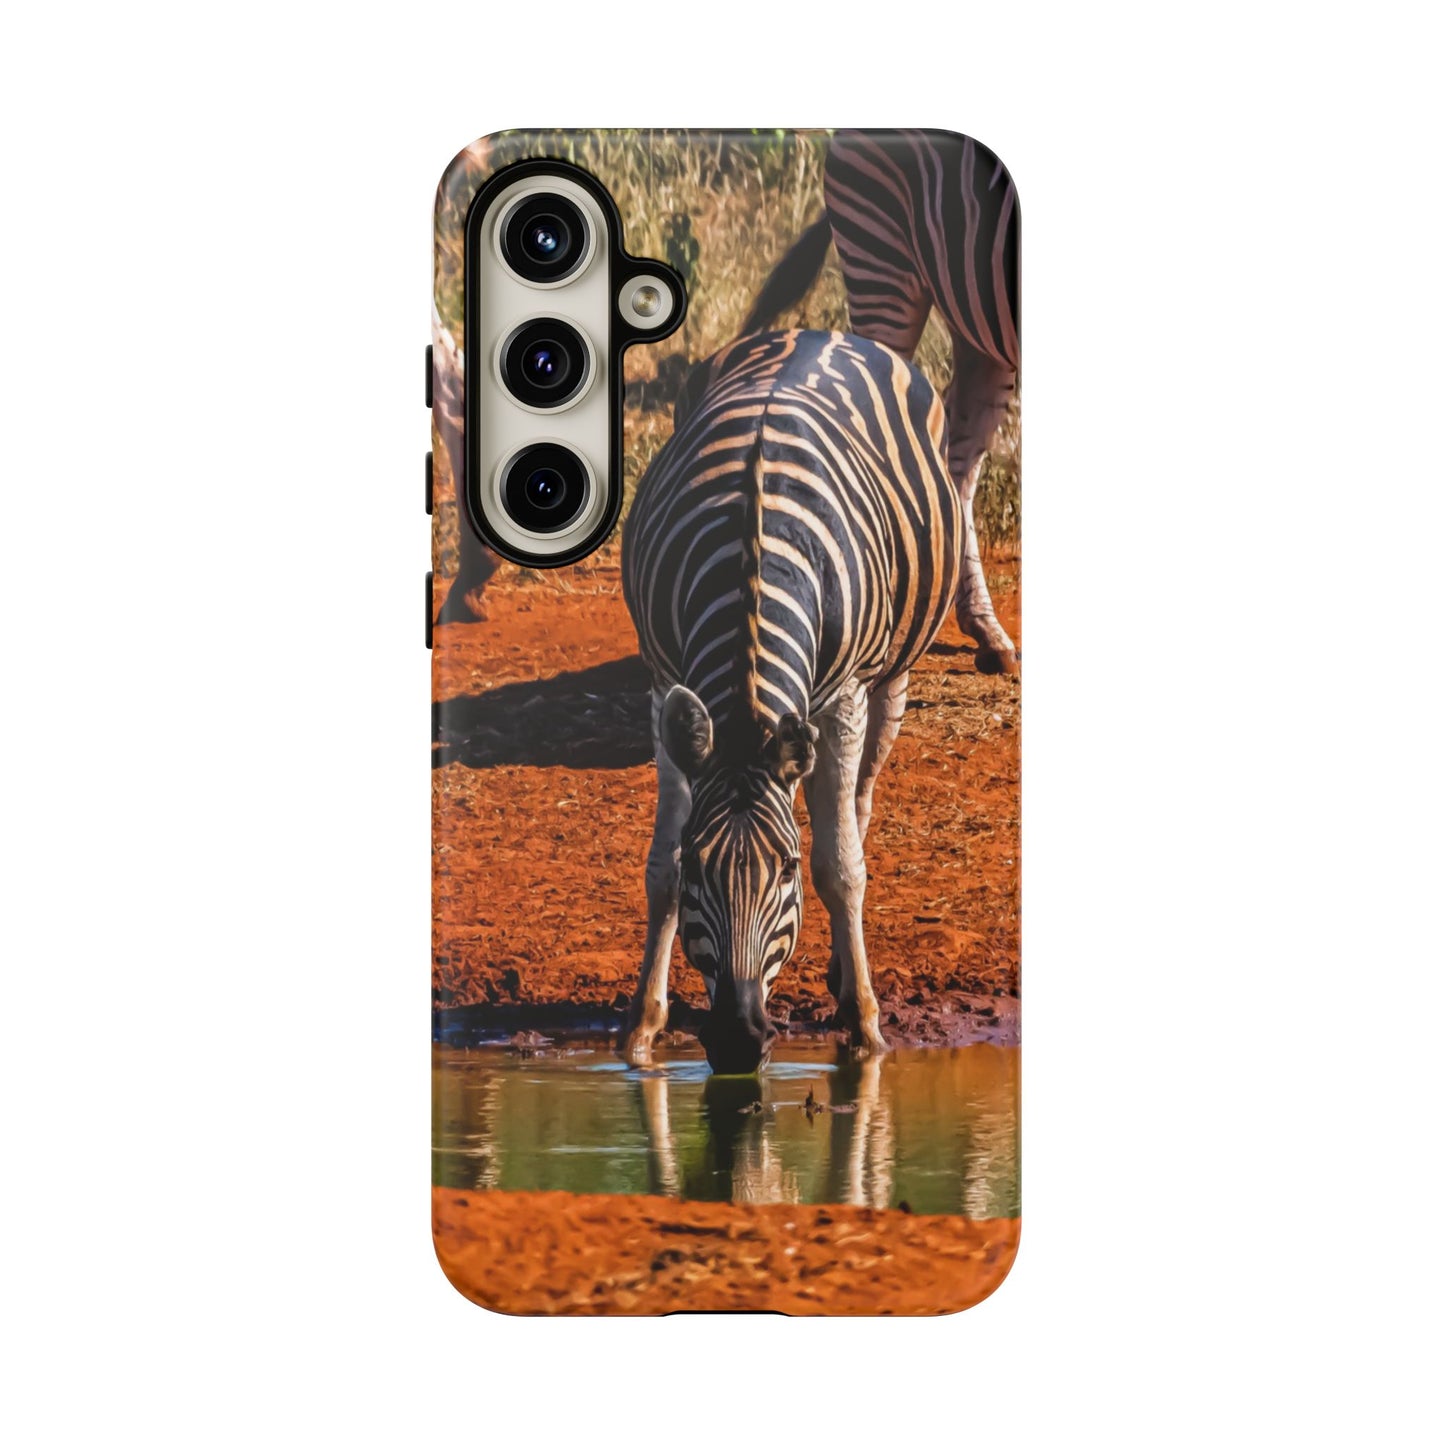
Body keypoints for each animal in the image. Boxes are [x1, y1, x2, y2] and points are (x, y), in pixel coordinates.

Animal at [621, 328, 961, 1073]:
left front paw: (865, 1028)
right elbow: (658, 868)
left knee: (857, 804)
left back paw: (843, 974)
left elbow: (841, 867)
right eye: (701, 864)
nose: (738, 1040)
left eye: (787, 869)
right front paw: (642, 1028)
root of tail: (818, 331)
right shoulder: (661, 682)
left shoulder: (843, 697)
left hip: (889, 676)